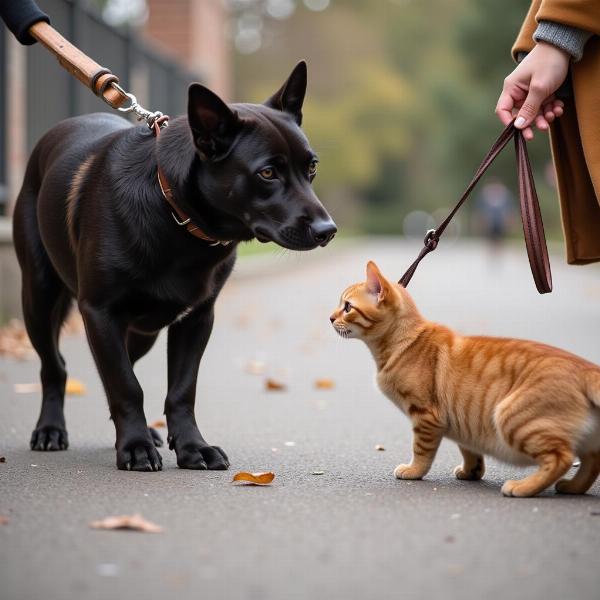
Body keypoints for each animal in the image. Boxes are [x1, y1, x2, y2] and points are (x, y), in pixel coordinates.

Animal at [12, 63, 338, 472]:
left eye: (311, 167)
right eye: (267, 174)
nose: (328, 231)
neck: (175, 216)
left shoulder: (196, 319)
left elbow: (180, 390)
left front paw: (192, 447)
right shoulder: (100, 312)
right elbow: (126, 385)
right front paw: (135, 447)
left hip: (143, 331)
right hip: (39, 298)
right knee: (54, 366)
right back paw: (51, 430)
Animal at [330, 262, 600, 496]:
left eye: (347, 307)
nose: (330, 318)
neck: (399, 344)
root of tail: (586, 368)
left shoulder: (426, 416)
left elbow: (421, 450)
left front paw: (413, 470)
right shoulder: (463, 421)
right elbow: (469, 449)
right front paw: (472, 472)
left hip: (513, 417)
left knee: (561, 458)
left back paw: (523, 487)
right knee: (591, 460)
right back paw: (573, 488)